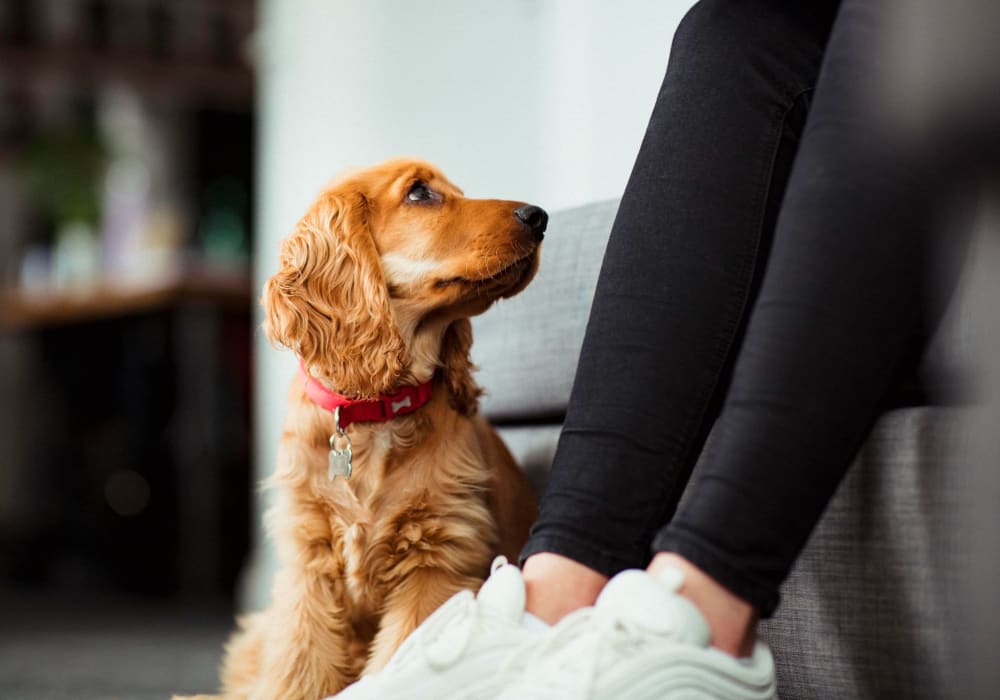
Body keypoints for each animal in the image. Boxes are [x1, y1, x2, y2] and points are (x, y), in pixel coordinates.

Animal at [176, 159, 544, 700]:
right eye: (420, 193)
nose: (538, 216)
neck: (374, 411)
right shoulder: (307, 564)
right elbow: (298, 666)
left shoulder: (437, 561)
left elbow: (402, 658)